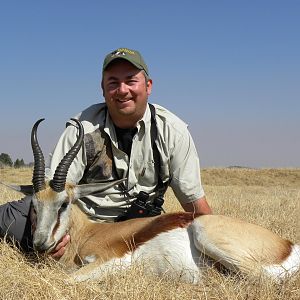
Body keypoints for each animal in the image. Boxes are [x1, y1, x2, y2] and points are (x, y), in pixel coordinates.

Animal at [2, 118, 300, 282]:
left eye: (63, 203)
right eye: (34, 205)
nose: (40, 243)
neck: (88, 233)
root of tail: (287, 244)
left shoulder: (110, 261)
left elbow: (68, 282)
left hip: (205, 232)